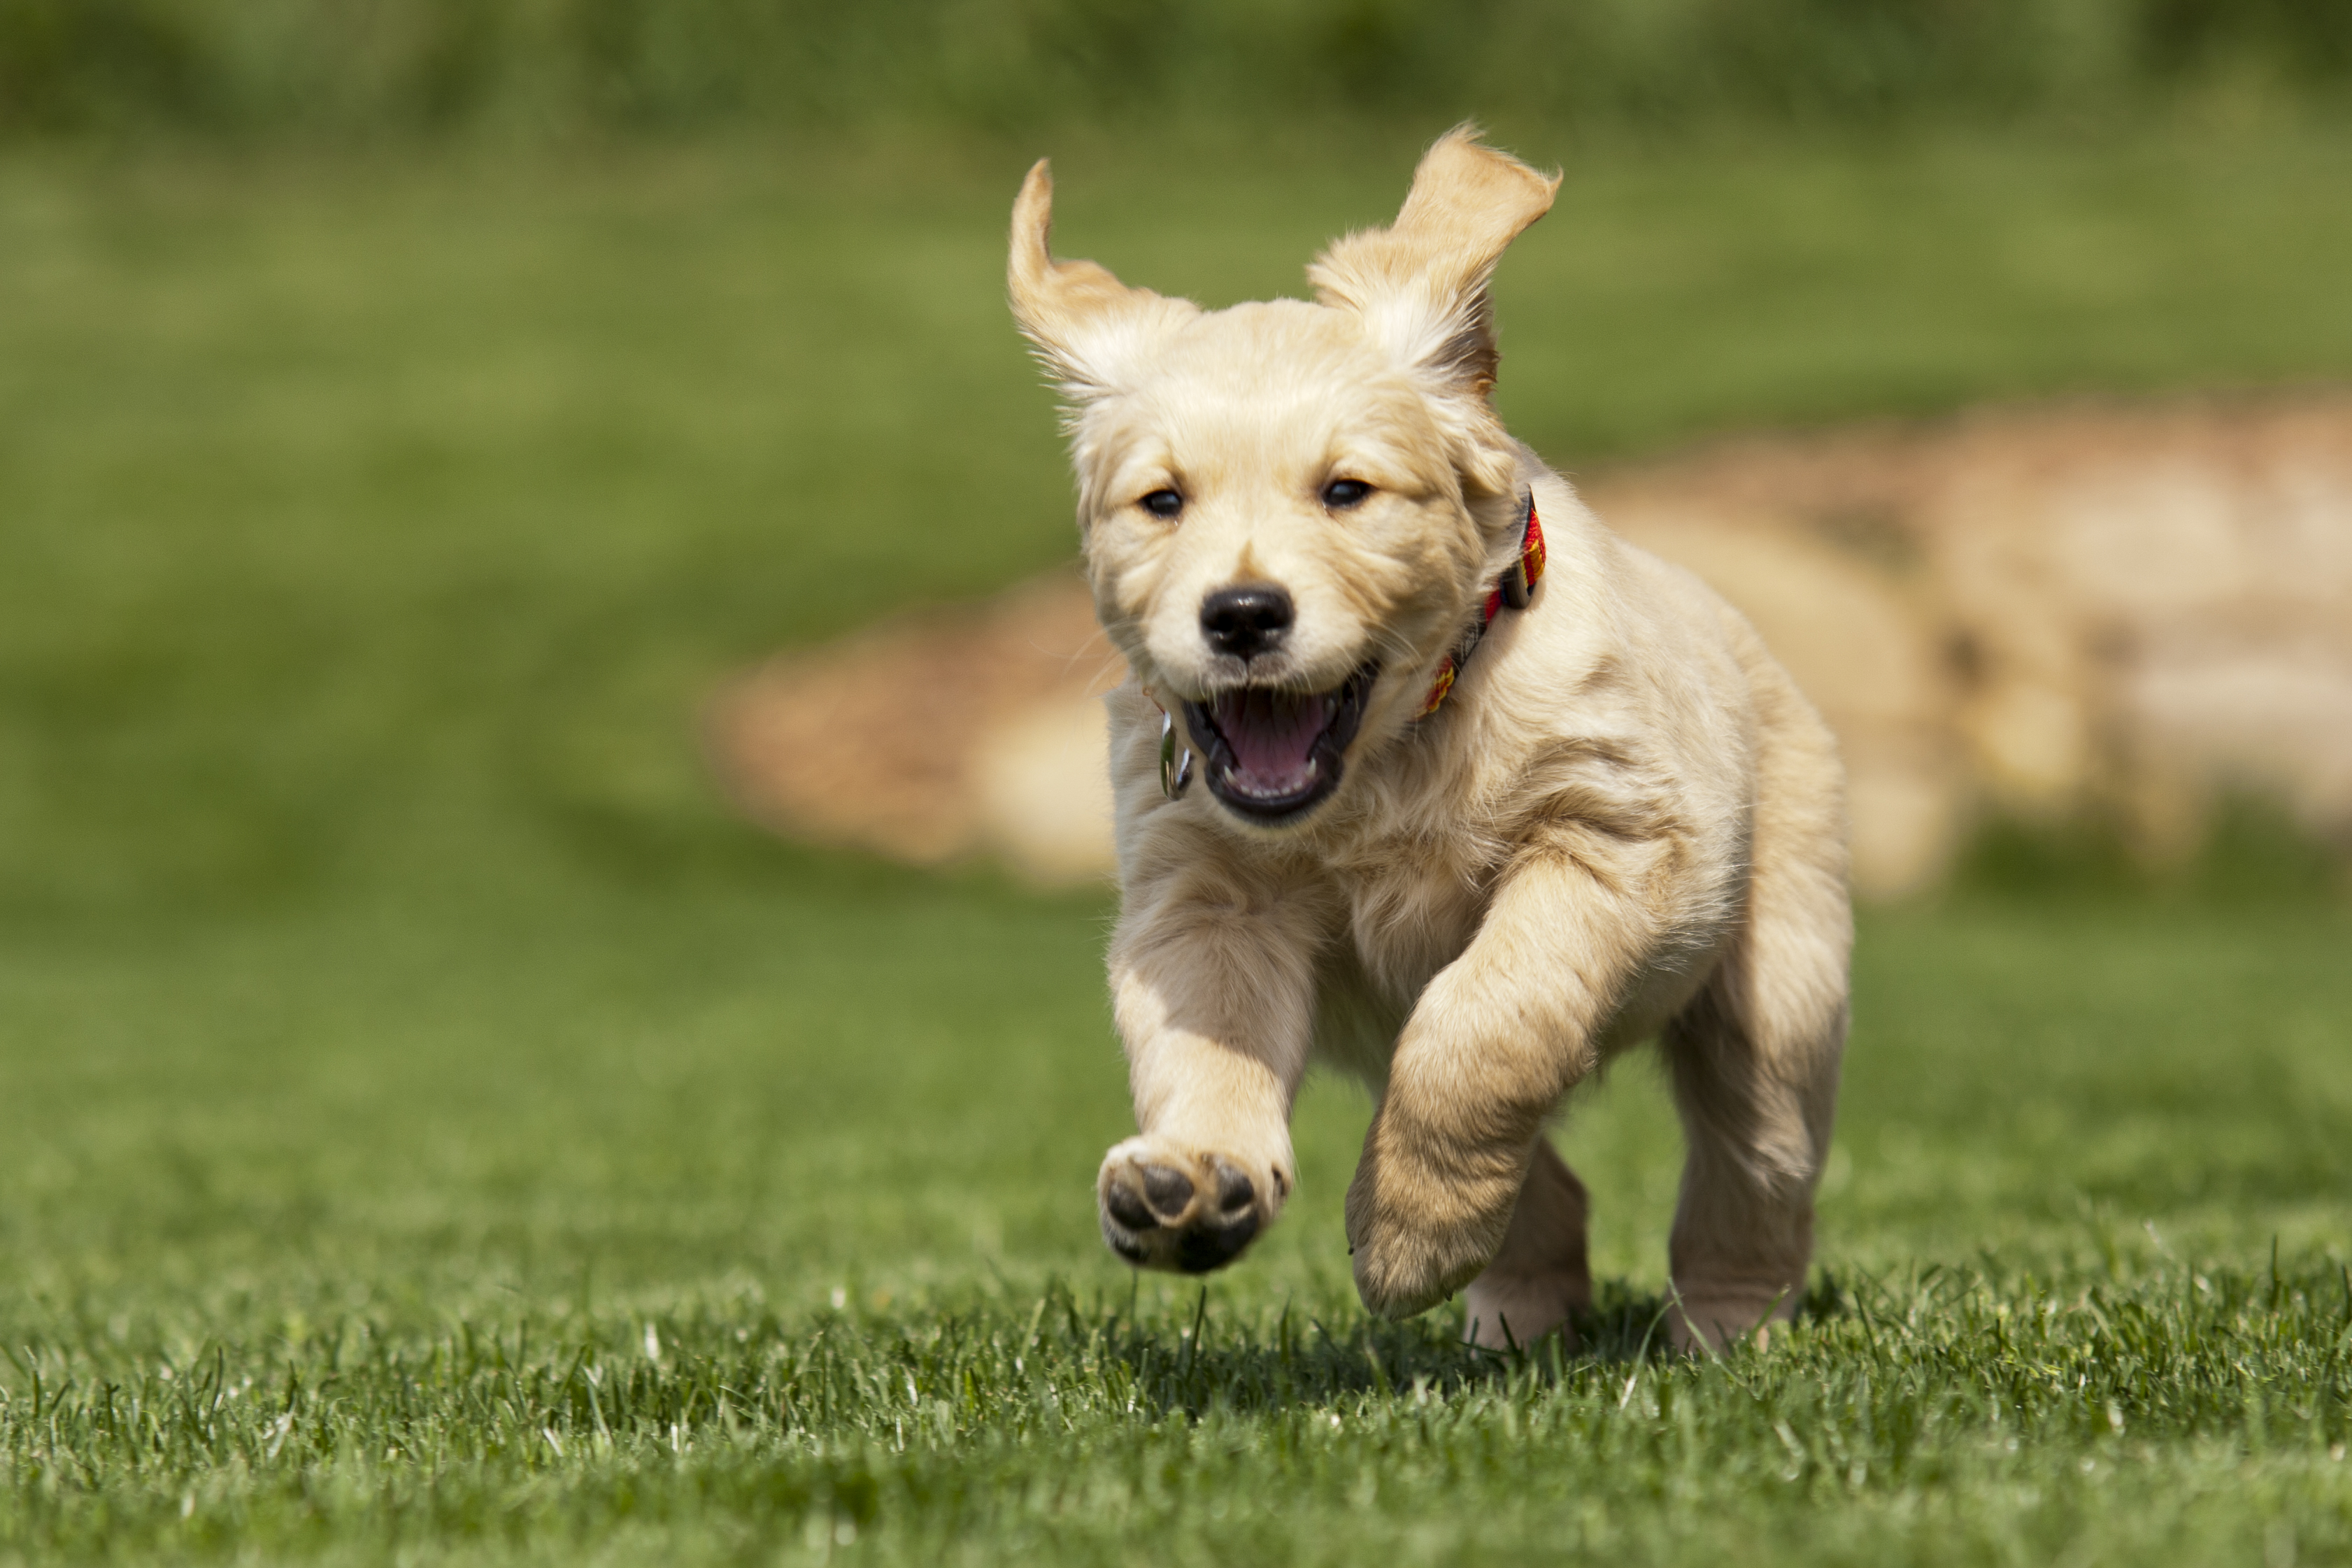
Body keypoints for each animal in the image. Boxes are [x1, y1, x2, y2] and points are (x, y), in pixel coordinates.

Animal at [1011, 129, 1853, 1354]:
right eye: (1161, 501)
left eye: (1346, 491)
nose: (1242, 615)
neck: (1390, 756)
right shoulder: (1205, 900)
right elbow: (1210, 1043)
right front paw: (1194, 1179)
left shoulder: (1611, 840)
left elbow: (1485, 1020)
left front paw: (1409, 1236)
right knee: (1548, 1182)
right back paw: (1515, 1310)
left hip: (1778, 983)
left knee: (1755, 1164)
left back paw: (1721, 1330)